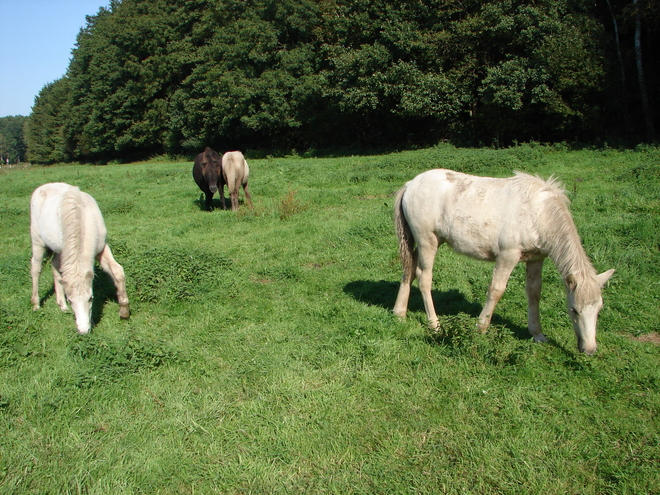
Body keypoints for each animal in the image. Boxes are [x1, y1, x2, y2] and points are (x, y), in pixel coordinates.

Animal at [392, 170, 612, 356]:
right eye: (574, 309)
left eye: (599, 309)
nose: (589, 350)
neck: (537, 212)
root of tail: (410, 185)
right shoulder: (508, 256)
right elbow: (496, 290)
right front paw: (481, 327)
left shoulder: (536, 258)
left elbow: (534, 292)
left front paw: (537, 334)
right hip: (427, 241)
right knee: (424, 278)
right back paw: (435, 325)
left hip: (425, 241)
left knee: (409, 270)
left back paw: (399, 313)